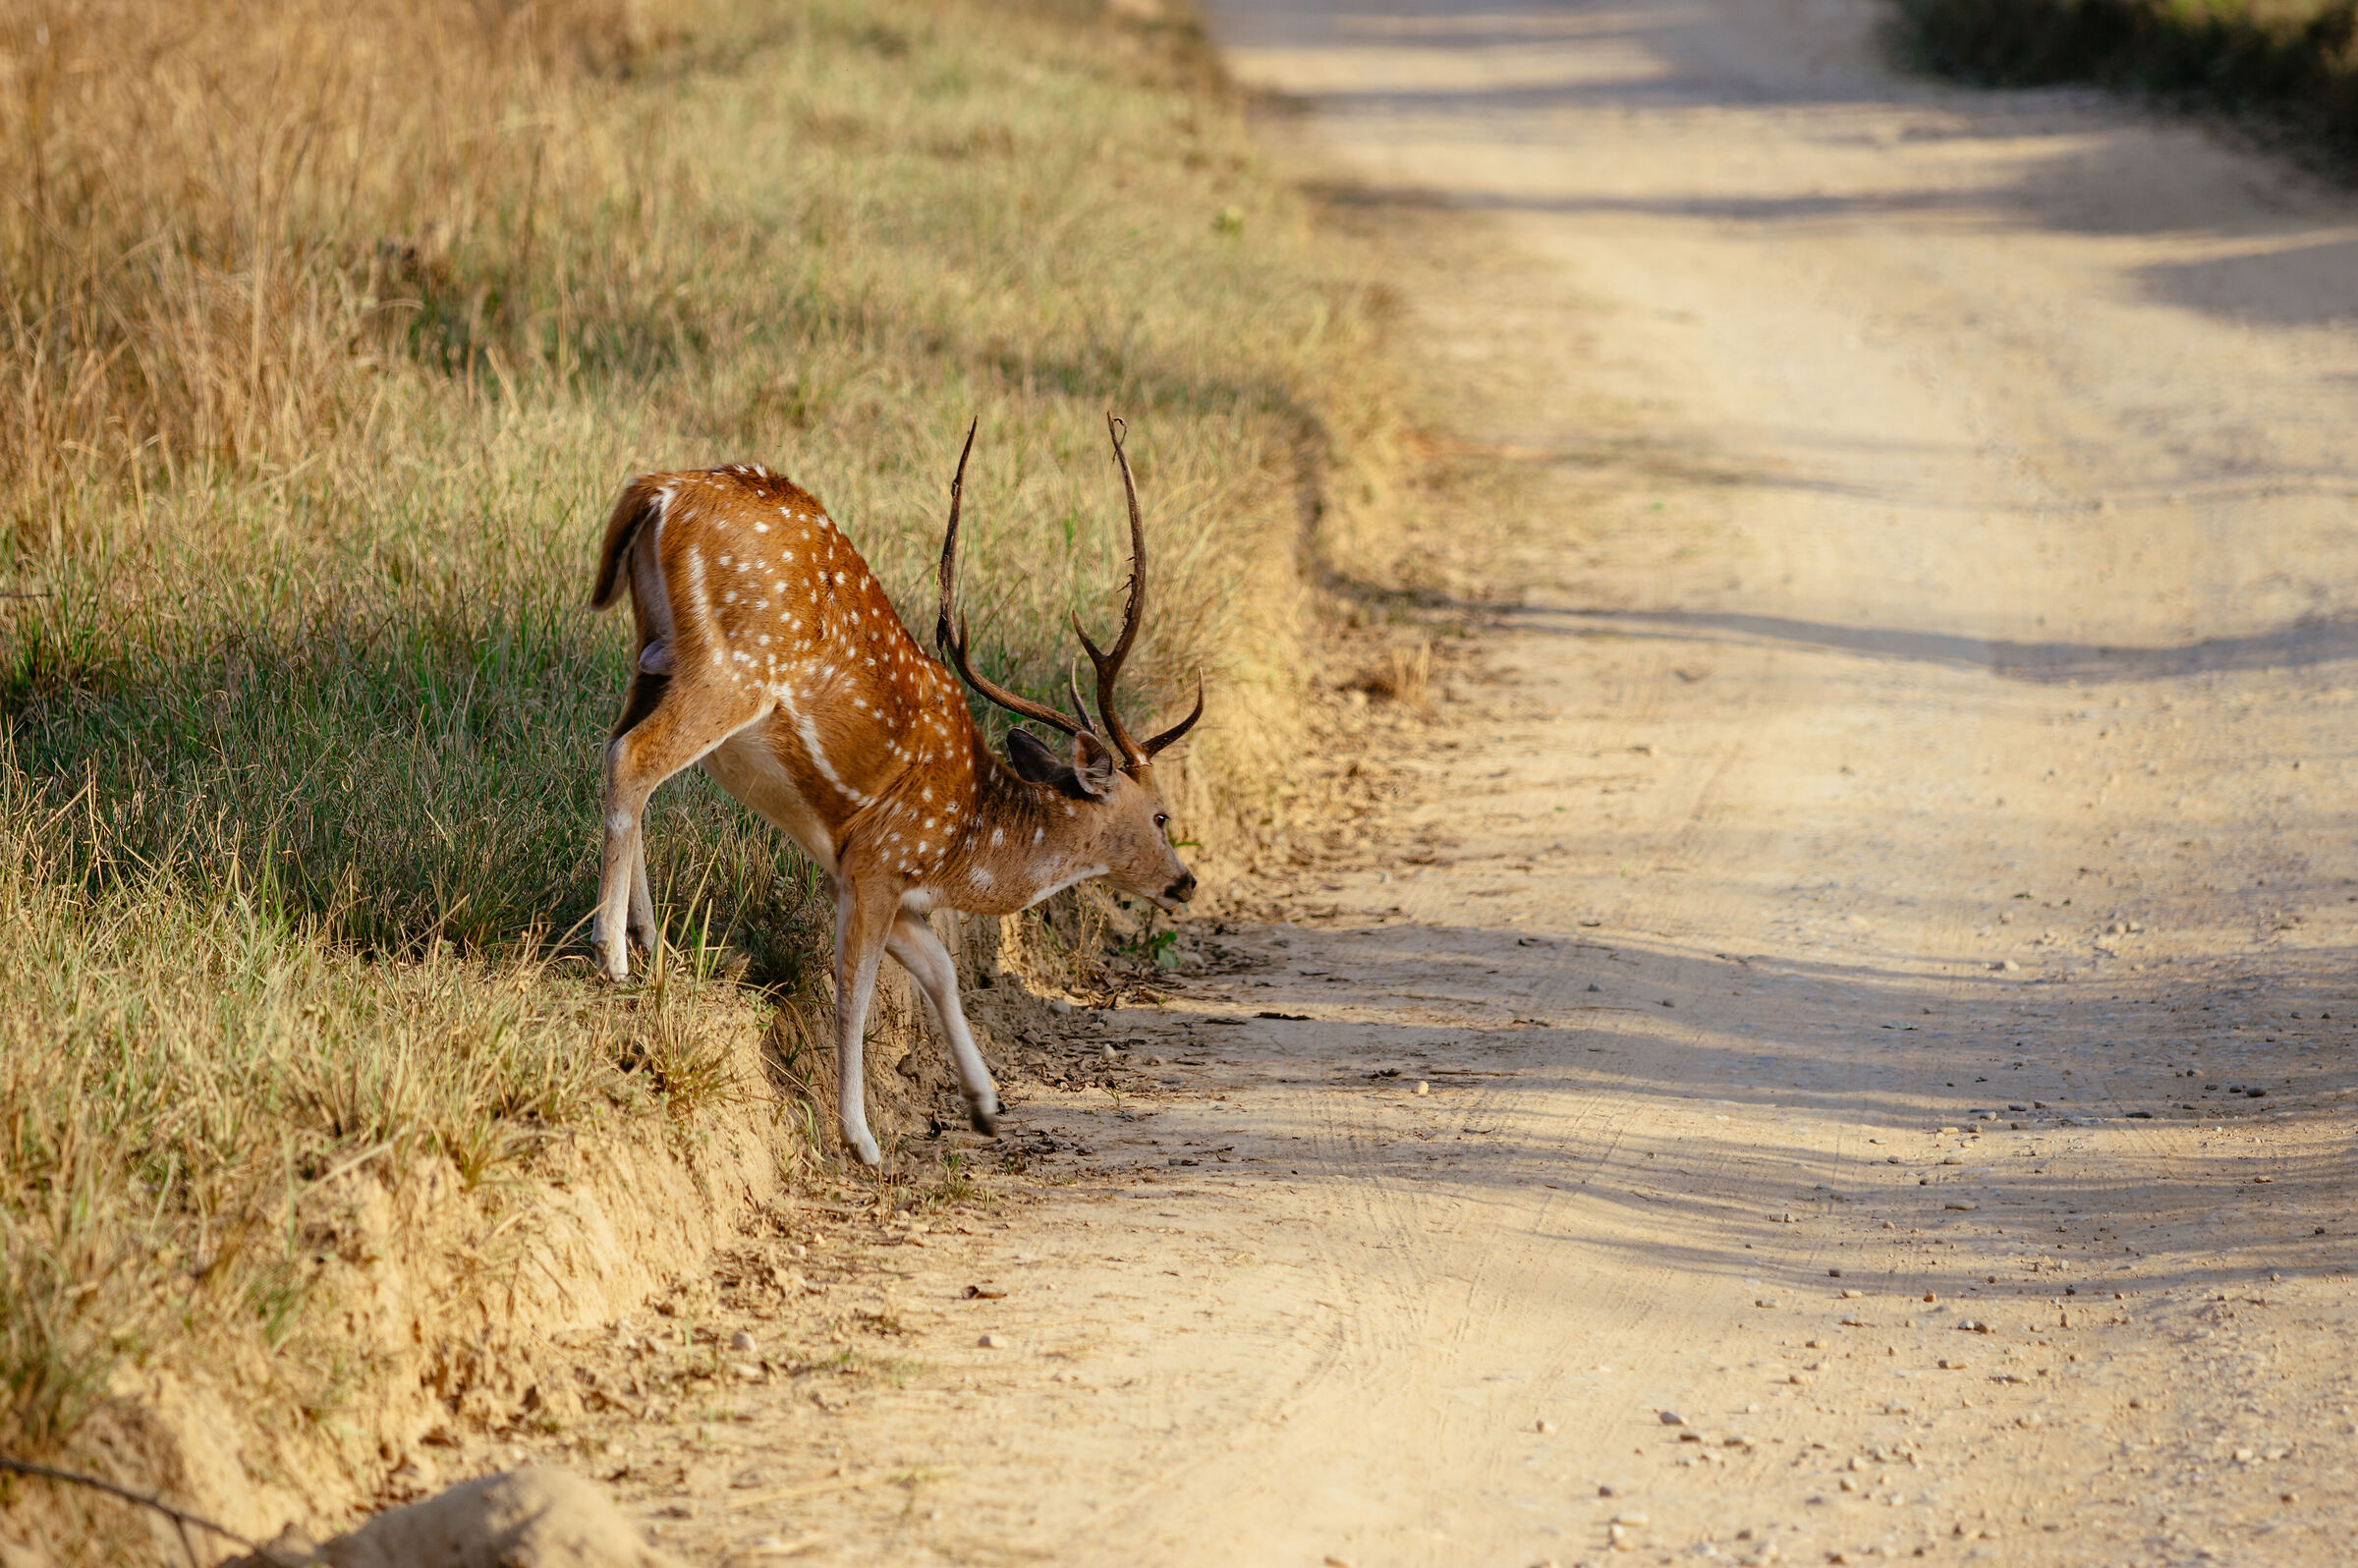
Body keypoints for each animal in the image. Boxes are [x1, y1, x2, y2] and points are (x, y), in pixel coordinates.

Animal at [587, 415, 1203, 1166]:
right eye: (1163, 815)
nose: (1185, 882)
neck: (967, 843)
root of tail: (659, 489)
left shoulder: (876, 878)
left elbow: (940, 968)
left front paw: (986, 1107)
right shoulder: (879, 862)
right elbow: (853, 991)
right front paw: (862, 1140)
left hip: (650, 651)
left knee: (618, 746)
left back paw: (651, 942)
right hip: (732, 667)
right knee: (633, 759)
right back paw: (614, 959)